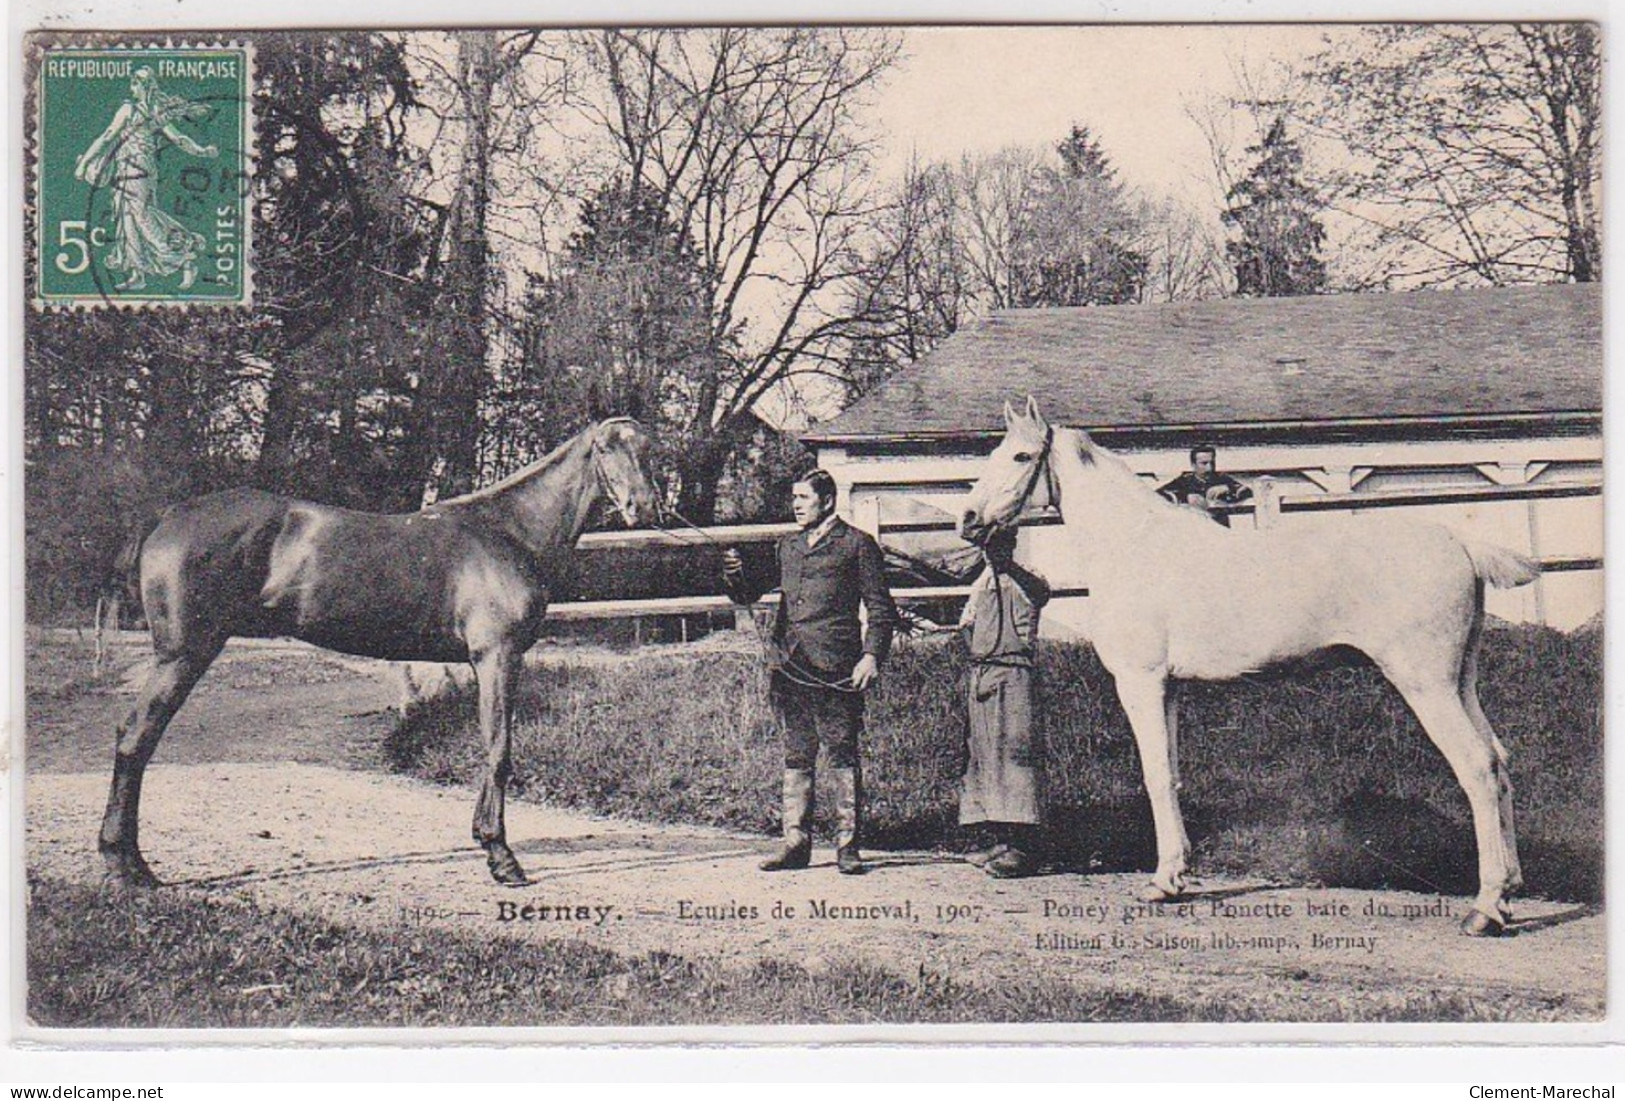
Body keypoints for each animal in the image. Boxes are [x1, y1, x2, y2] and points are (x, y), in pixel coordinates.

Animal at [99, 418, 659, 889]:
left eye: (648, 449)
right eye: (606, 448)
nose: (643, 506)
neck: (509, 531)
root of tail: (168, 514)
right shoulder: (497, 657)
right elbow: (498, 752)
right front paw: (501, 857)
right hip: (183, 654)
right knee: (136, 739)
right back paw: (127, 865)